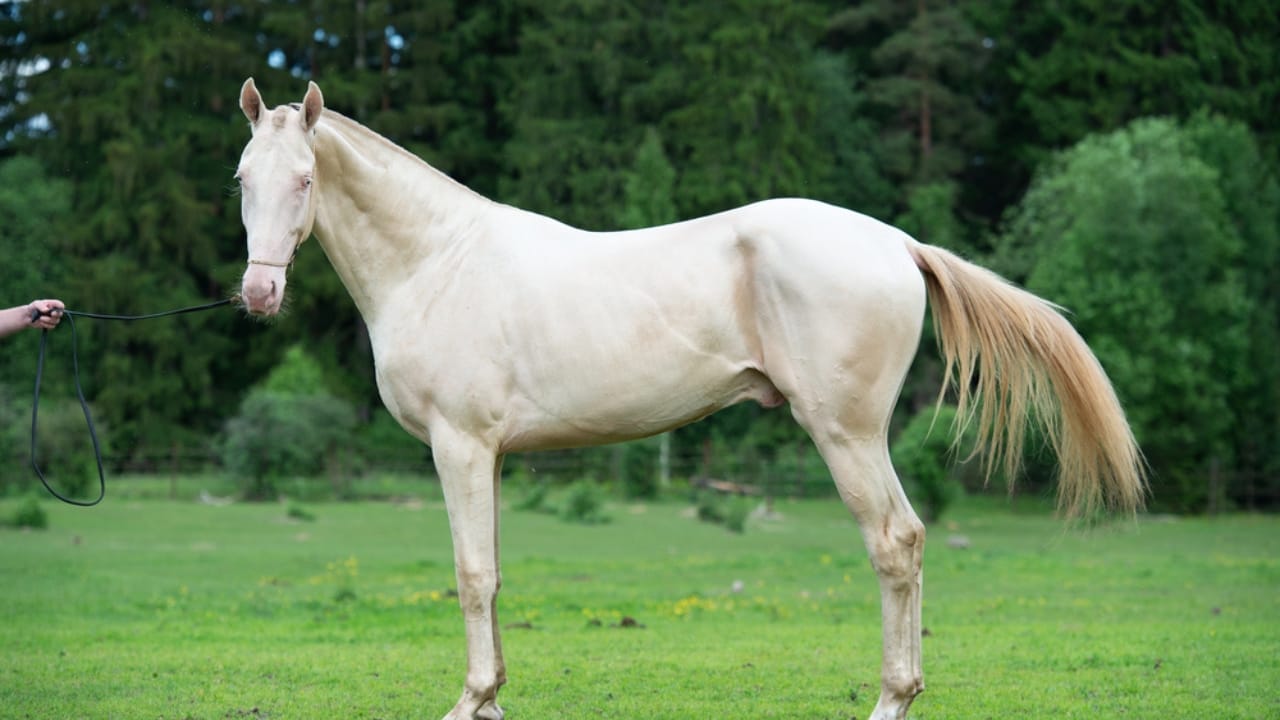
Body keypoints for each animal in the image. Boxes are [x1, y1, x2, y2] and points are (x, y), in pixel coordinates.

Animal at [233, 79, 1145, 720]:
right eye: (243, 178)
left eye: (306, 180)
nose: (258, 295)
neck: (439, 260)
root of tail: (896, 242)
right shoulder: (488, 455)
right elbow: (493, 575)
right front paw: (493, 699)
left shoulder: (459, 445)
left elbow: (471, 574)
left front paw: (471, 698)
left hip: (846, 433)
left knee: (895, 542)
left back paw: (891, 697)